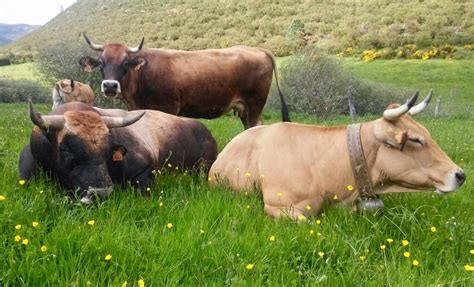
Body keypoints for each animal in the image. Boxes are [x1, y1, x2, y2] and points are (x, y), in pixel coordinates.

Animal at [78, 34, 288, 129]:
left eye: (125, 63)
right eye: (101, 62)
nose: (110, 85)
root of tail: (258, 49)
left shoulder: (169, 108)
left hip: (255, 105)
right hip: (245, 109)